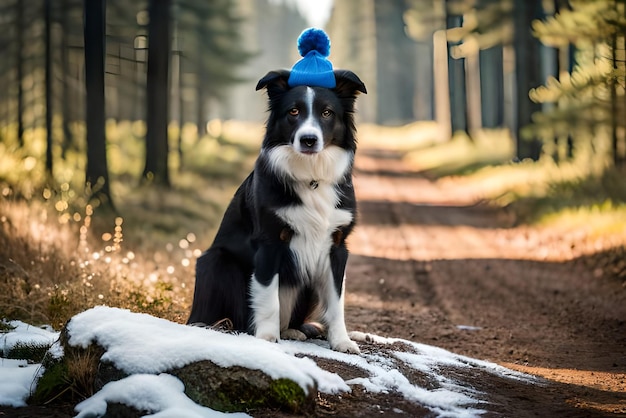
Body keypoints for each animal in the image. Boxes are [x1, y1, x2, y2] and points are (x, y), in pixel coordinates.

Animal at [188, 68, 364, 352]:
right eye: (293, 111)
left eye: (327, 113)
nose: (308, 140)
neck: (311, 176)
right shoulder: (270, 242)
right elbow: (269, 297)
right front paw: (268, 338)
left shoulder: (337, 246)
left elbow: (336, 302)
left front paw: (341, 341)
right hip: (216, 261)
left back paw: (292, 330)